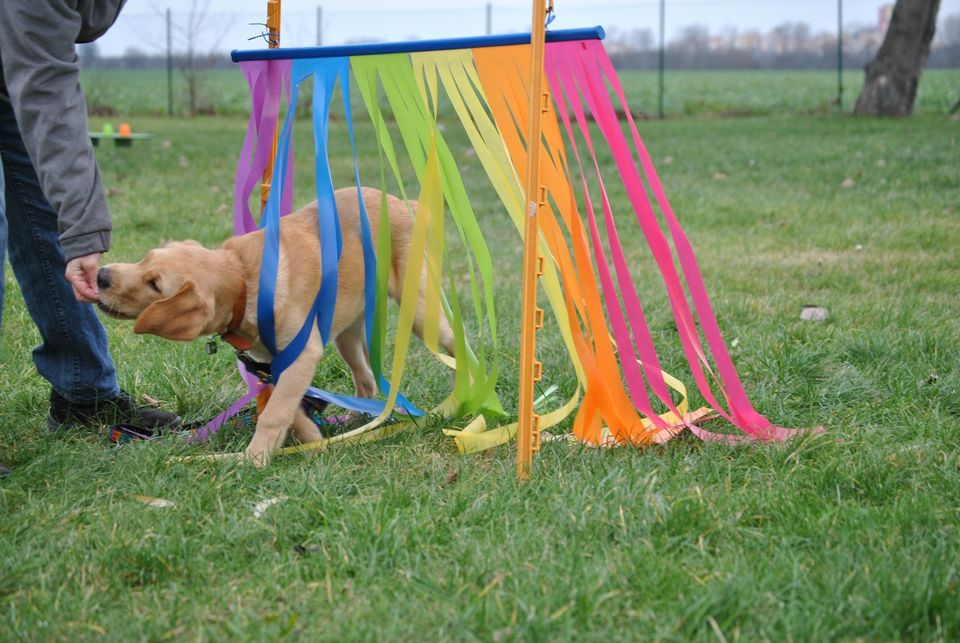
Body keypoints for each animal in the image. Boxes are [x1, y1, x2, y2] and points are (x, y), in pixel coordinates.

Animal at [96, 189, 454, 466]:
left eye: (155, 284)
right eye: (146, 257)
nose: (101, 275)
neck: (245, 279)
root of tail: (404, 204)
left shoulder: (302, 355)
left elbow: (275, 412)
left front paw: (255, 458)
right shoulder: (270, 363)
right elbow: (284, 405)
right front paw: (313, 439)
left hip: (422, 312)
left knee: (457, 344)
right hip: (347, 332)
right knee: (365, 379)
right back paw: (356, 421)